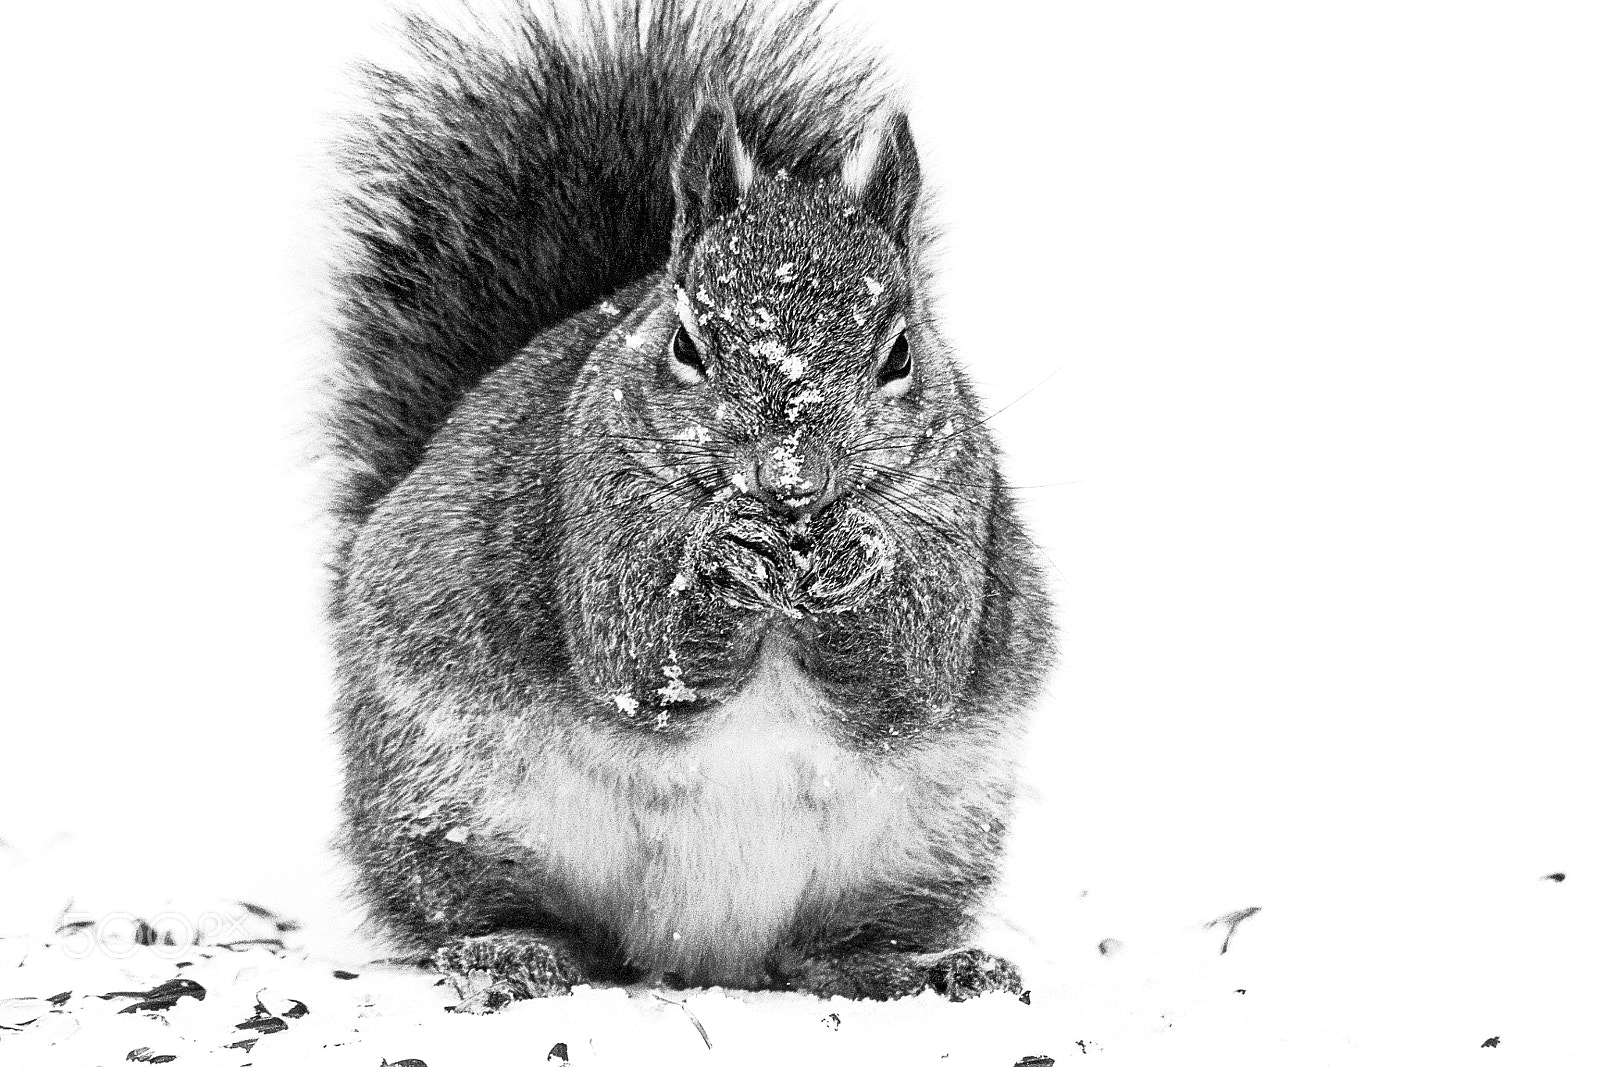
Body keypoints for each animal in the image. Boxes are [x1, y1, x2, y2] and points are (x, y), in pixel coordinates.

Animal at [325, 0, 1055, 1007]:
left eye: (901, 352)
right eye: (685, 342)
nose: (789, 480)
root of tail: (701, 952)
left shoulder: (958, 515)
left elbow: (912, 674)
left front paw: (861, 558)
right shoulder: (590, 505)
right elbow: (633, 651)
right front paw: (715, 556)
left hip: (932, 843)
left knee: (831, 951)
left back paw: (930, 968)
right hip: (446, 795)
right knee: (482, 910)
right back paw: (512, 947)